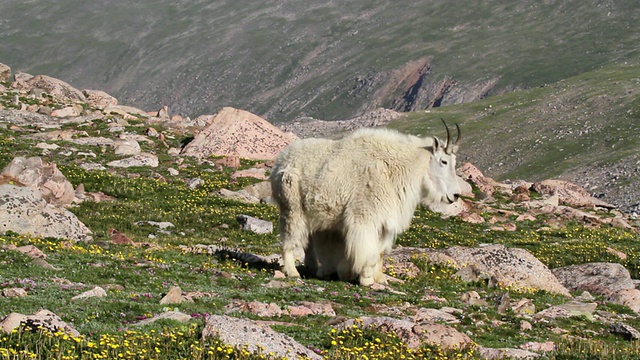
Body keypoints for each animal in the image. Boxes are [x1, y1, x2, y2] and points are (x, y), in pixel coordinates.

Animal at [268, 122, 460, 286]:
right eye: (444, 161)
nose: (455, 195)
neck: (396, 168)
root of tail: (281, 160)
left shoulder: (385, 221)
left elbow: (380, 252)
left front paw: (380, 279)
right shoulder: (365, 216)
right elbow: (369, 250)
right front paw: (366, 279)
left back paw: (317, 269)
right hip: (292, 207)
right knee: (288, 238)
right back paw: (292, 271)